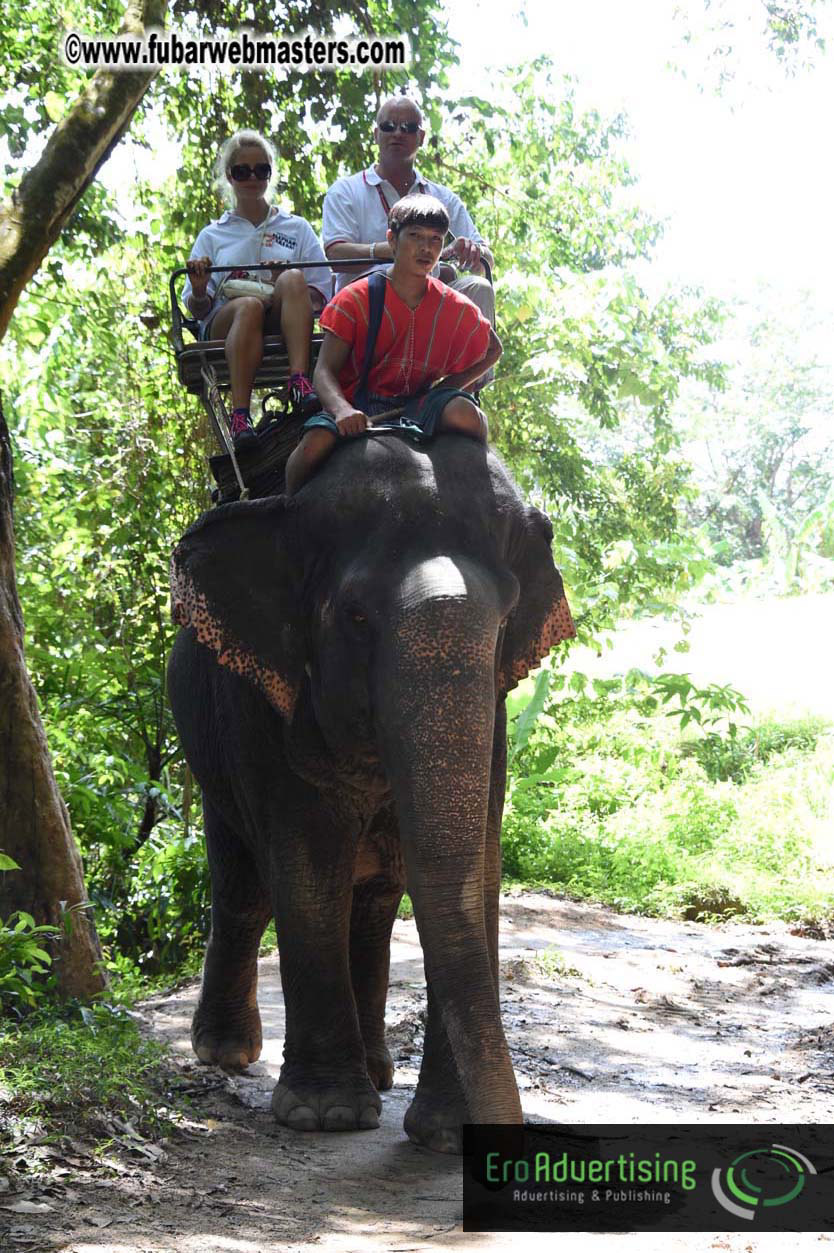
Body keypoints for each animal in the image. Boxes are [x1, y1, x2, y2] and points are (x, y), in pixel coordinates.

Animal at [167, 430, 575, 1154]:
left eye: (505, 620)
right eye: (355, 615)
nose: (499, 1135)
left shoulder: (498, 716)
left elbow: (479, 867)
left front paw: (441, 1132)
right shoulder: (266, 711)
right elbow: (308, 871)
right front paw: (324, 1116)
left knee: (374, 905)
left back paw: (380, 1071)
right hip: (209, 747)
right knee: (243, 888)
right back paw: (227, 1054)